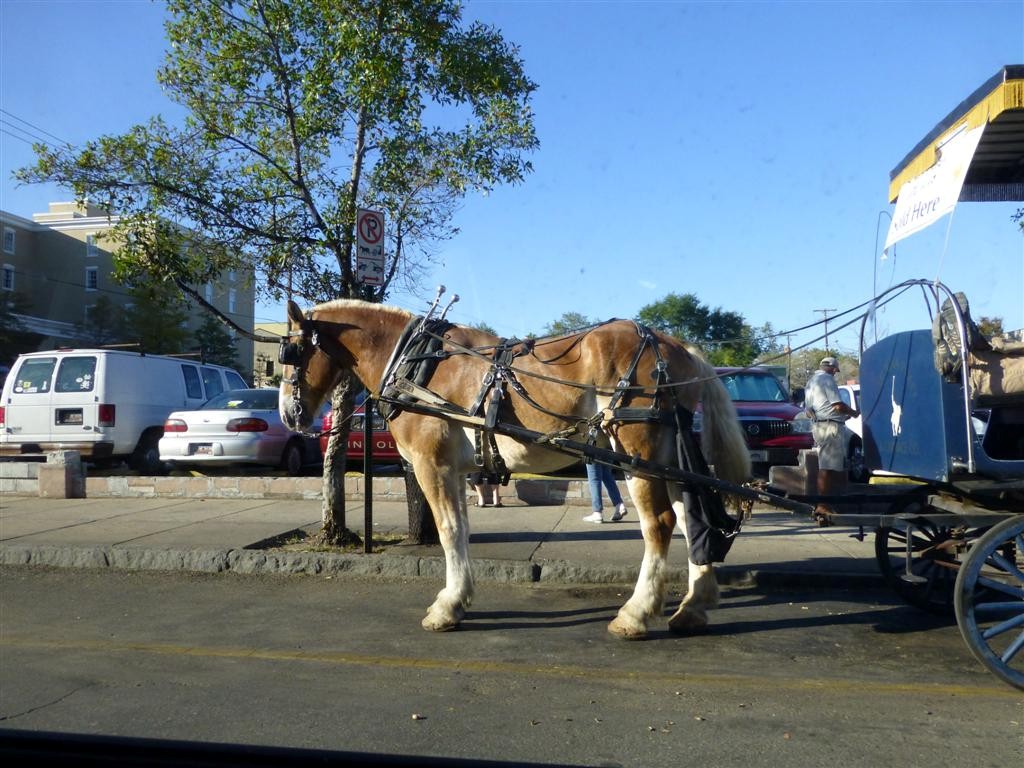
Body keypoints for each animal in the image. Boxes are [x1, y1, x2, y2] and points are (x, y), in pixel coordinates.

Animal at [279, 297, 751, 639]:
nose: (288, 414)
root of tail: (676, 346)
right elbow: (461, 530)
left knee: (660, 524)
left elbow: (447, 530)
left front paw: (446, 607)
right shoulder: (456, 470)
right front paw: (459, 597)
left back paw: (635, 614)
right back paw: (693, 607)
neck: (415, 364)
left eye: (291, 352)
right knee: (692, 521)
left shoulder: (433, 465)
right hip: (668, 457)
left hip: (638, 451)